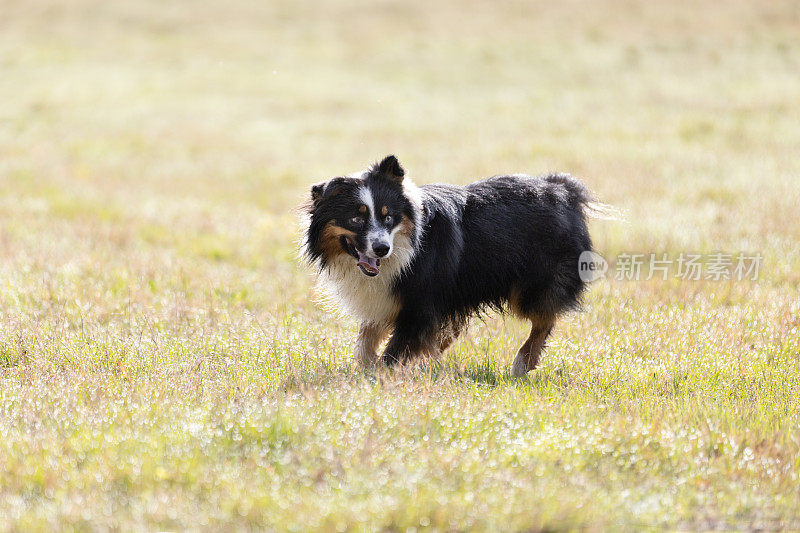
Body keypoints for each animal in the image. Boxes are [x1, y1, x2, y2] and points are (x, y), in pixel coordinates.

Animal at [306, 154, 600, 376]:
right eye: (356, 220)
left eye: (388, 217)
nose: (382, 249)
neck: (407, 248)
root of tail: (562, 189)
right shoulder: (387, 297)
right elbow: (365, 344)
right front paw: (370, 367)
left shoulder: (422, 299)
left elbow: (398, 346)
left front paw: (381, 376)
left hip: (534, 281)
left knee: (544, 317)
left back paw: (522, 362)